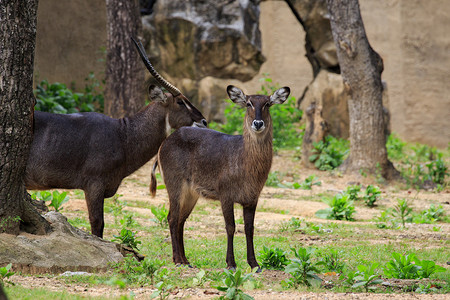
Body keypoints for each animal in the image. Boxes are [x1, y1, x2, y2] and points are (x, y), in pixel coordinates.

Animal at [151, 84, 290, 270]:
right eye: (248, 103)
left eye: (267, 104)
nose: (258, 123)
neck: (245, 161)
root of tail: (165, 143)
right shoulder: (226, 196)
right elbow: (230, 227)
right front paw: (231, 263)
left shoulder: (252, 199)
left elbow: (249, 228)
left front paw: (254, 264)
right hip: (175, 186)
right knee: (172, 218)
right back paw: (178, 260)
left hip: (191, 194)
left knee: (181, 220)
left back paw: (186, 261)